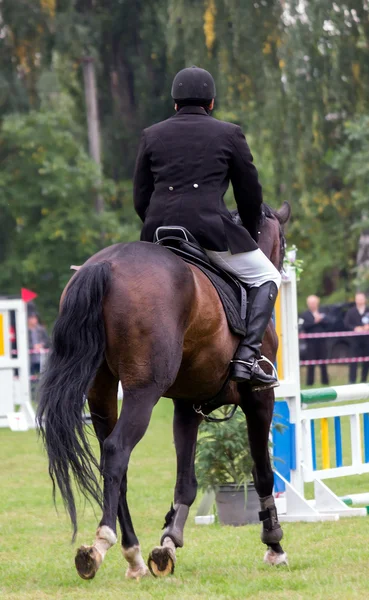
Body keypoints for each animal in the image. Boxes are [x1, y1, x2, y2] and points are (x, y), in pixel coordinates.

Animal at [37, 202, 290, 580]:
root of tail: (106, 265)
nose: (281, 266)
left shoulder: (187, 406)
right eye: (283, 242)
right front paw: (274, 544)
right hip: (143, 391)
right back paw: (100, 545)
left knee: (115, 464)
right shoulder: (259, 399)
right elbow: (262, 473)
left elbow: (186, 482)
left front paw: (168, 544)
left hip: (101, 392)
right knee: (117, 450)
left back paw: (135, 557)